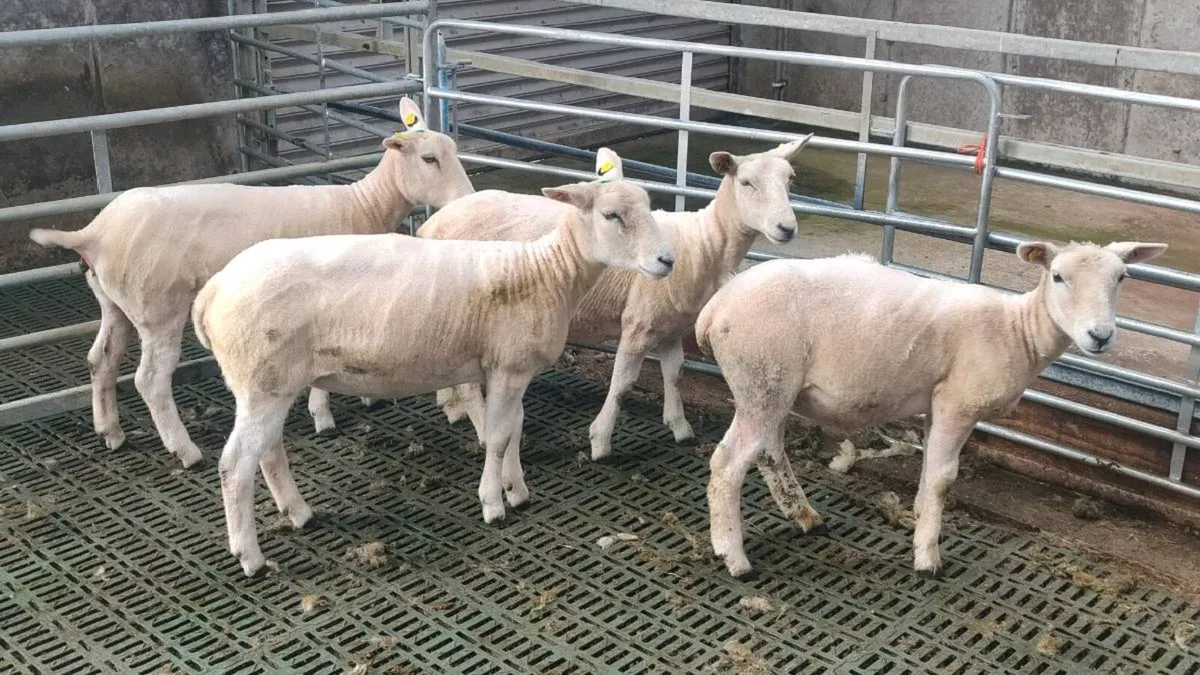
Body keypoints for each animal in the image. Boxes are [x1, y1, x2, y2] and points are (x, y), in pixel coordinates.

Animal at [28, 98, 472, 468]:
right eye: (429, 158)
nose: (467, 198)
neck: (363, 205)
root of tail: (93, 233)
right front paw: (323, 415)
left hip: (114, 302)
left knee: (101, 359)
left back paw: (112, 432)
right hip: (157, 308)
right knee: (150, 380)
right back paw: (185, 450)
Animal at [190, 168, 675, 576]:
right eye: (612, 215)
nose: (668, 261)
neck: (546, 273)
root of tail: (213, 291)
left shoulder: (510, 369)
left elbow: (514, 429)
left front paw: (516, 489)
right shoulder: (508, 367)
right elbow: (498, 437)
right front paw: (493, 503)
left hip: (270, 384)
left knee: (268, 451)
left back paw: (299, 513)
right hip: (261, 382)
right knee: (235, 466)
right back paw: (250, 556)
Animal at [419, 137, 812, 460]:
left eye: (790, 180)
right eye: (746, 183)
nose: (787, 228)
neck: (703, 243)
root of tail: (433, 223)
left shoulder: (670, 324)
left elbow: (674, 373)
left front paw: (679, 426)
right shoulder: (638, 322)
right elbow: (622, 385)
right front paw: (600, 440)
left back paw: (452, 405)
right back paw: (479, 423)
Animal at [695, 241, 1167, 578]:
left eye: (1122, 277)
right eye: (1058, 276)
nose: (1100, 336)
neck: (1017, 330)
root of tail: (715, 307)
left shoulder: (936, 405)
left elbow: (927, 476)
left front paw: (920, 524)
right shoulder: (958, 402)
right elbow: (943, 481)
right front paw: (928, 559)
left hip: (771, 388)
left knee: (770, 453)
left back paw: (805, 517)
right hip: (763, 378)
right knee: (728, 464)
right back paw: (733, 556)